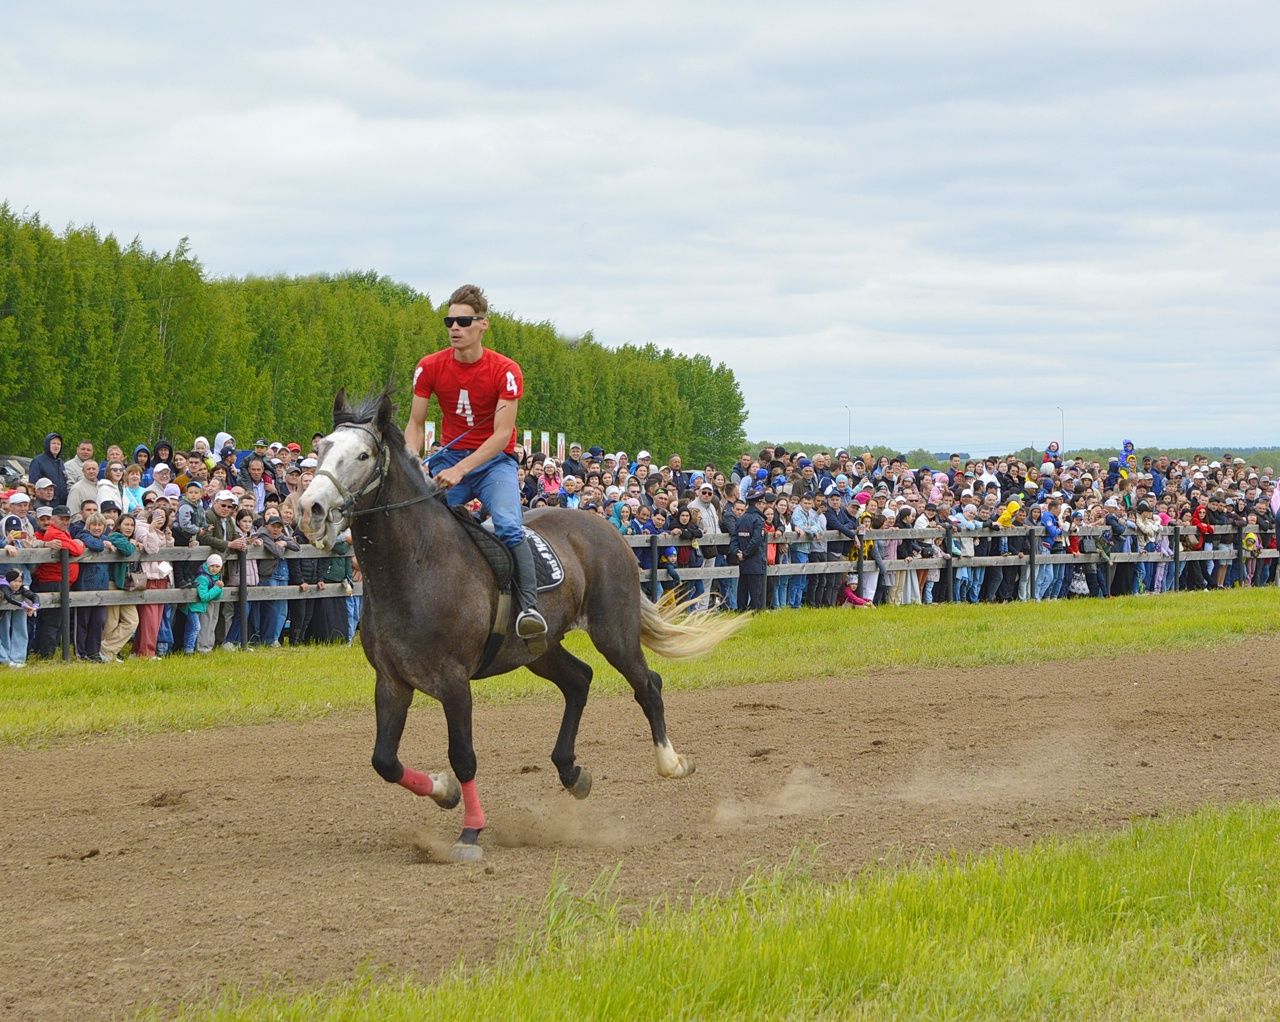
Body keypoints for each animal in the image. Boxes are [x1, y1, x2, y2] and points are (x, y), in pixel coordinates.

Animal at [294, 389, 747, 865]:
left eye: (363, 455)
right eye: (323, 448)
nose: (310, 509)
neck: (416, 565)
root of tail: (607, 529)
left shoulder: (454, 681)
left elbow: (463, 755)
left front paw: (470, 831)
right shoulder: (391, 680)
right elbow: (384, 761)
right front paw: (445, 792)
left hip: (613, 633)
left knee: (647, 684)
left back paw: (671, 762)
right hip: (539, 649)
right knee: (579, 680)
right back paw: (571, 771)